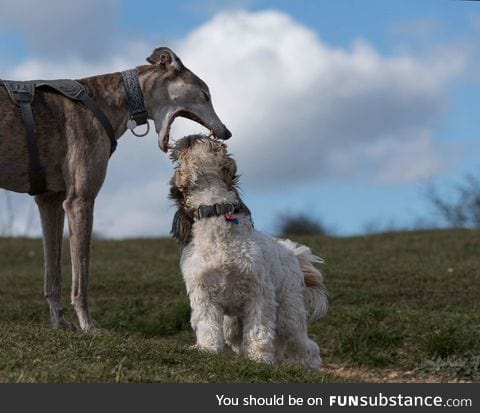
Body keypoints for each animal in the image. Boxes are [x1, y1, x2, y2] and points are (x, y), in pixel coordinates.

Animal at [167, 134, 328, 366]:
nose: (191, 136)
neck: (215, 211)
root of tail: (293, 253)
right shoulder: (204, 295)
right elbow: (207, 326)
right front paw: (208, 350)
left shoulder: (259, 294)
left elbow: (259, 331)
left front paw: (260, 358)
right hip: (232, 323)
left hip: (288, 313)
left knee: (305, 345)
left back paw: (307, 366)